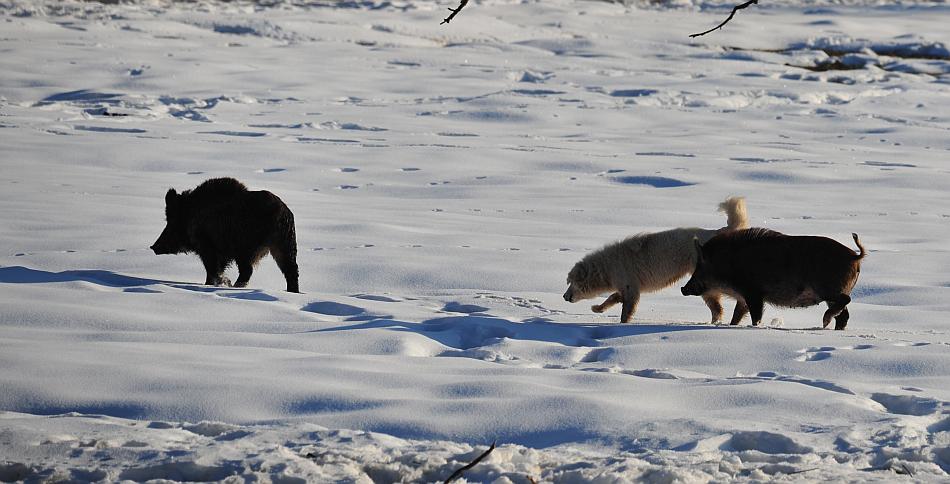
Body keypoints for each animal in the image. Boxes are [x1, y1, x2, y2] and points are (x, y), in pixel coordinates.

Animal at [564, 197, 752, 326]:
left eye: (572, 283)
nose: (564, 296)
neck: (607, 268)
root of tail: (719, 231)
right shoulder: (627, 286)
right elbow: (612, 298)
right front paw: (598, 308)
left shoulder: (630, 285)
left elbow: (625, 309)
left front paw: (622, 324)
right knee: (717, 308)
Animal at [680, 230, 868, 328]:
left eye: (700, 267)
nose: (683, 288)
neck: (728, 264)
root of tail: (855, 256)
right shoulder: (743, 297)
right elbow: (737, 315)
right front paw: (733, 325)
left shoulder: (754, 293)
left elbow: (755, 315)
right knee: (844, 315)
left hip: (830, 289)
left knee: (846, 300)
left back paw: (824, 321)